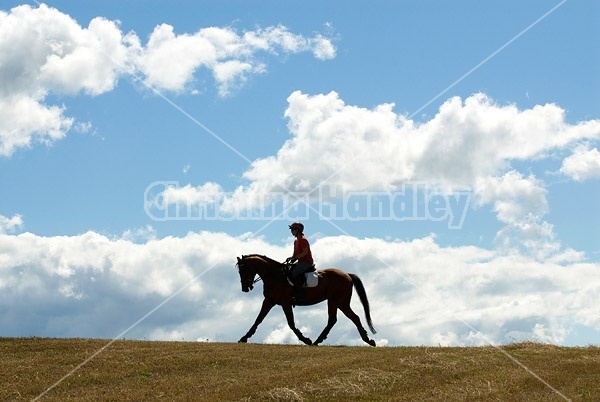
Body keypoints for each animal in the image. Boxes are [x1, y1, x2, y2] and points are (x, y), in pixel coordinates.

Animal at [234, 254, 376, 346]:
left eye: (243, 270)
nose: (245, 288)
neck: (275, 276)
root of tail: (347, 275)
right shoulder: (269, 301)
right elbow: (258, 319)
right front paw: (244, 338)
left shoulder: (285, 303)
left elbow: (291, 323)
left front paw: (305, 339)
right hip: (342, 303)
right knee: (354, 317)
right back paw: (368, 340)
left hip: (334, 301)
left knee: (333, 320)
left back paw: (316, 341)